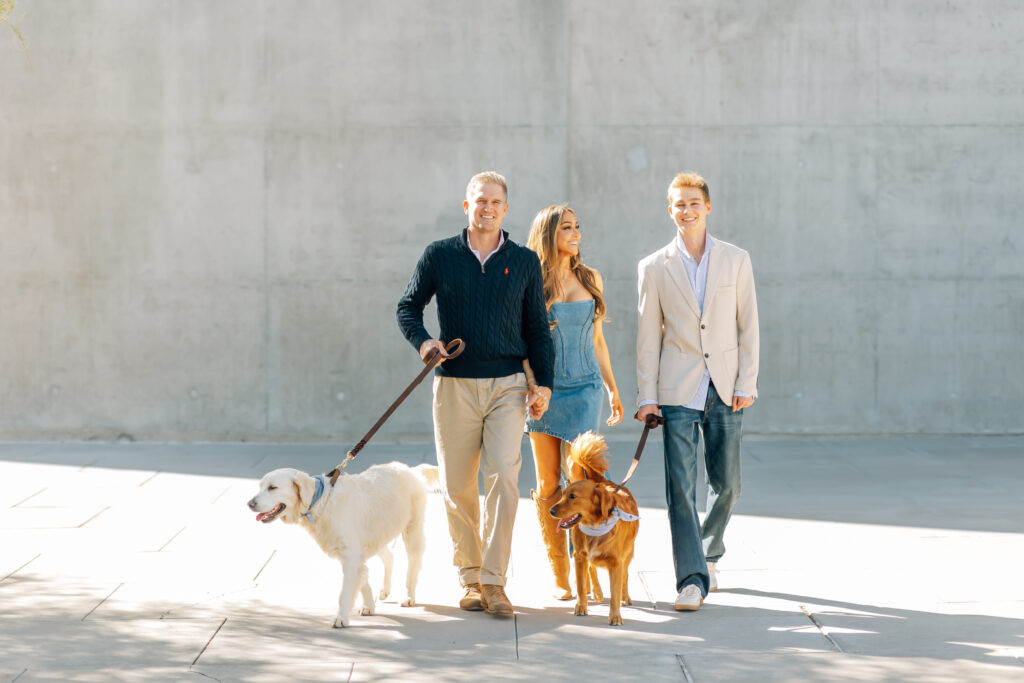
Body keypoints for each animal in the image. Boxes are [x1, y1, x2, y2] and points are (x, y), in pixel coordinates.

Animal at [250, 462, 440, 626]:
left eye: (272, 487)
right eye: (260, 486)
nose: (249, 503)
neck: (321, 502)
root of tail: (410, 469)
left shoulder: (351, 556)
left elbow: (346, 592)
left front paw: (341, 618)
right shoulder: (355, 554)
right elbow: (363, 583)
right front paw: (369, 606)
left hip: (412, 530)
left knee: (412, 567)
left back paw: (409, 597)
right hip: (377, 536)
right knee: (389, 556)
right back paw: (385, 590)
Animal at [552, 432, 638, 626]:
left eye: (572, 496)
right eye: (563, 494)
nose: (551, 511)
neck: (595, 525)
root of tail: (603, 482)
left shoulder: (616, 562)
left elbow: (615, 592)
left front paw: (615, 615)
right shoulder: (579, 556)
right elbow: (581, 585)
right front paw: (580, 607)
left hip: (628, 553)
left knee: (626, 574)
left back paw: (625, 596)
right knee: (592, 568)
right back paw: (597, 591)